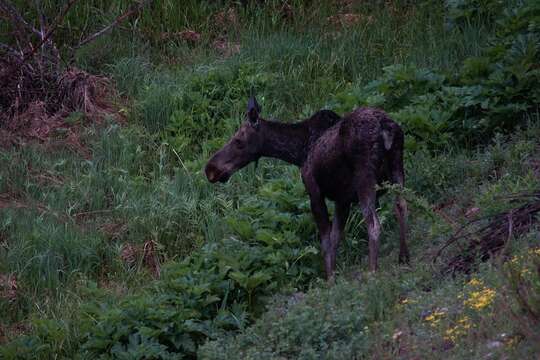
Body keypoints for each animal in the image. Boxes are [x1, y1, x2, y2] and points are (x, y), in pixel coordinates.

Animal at [205, 97, 408, 280]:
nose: (210, 169)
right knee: (402, 206)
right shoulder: (343, 199)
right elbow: (335, 238)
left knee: (373, 224)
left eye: (238, 140)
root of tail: (386, 128)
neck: (297, 152)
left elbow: (325, 241)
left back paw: (373, 271)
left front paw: (330, 280)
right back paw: (404, 257)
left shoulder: (314, 191)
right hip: (398, 168)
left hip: (365, 179)